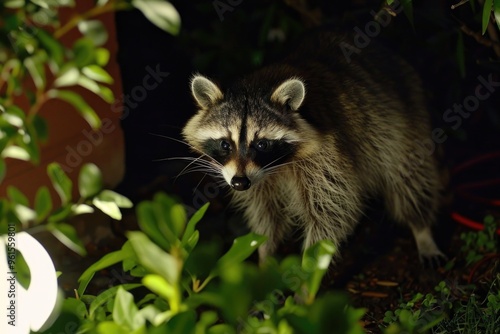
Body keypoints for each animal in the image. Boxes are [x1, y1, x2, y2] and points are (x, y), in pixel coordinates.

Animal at [183, 32, 446, 264]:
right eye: (225, 144)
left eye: (262, 144)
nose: (239, 183)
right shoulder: (255, 181)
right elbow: (267, 216)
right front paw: (265, 254)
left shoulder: (326, 156)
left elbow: (332, 213)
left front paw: (305, 278)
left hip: (404, 117)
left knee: (409, 177)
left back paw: (421, 228)